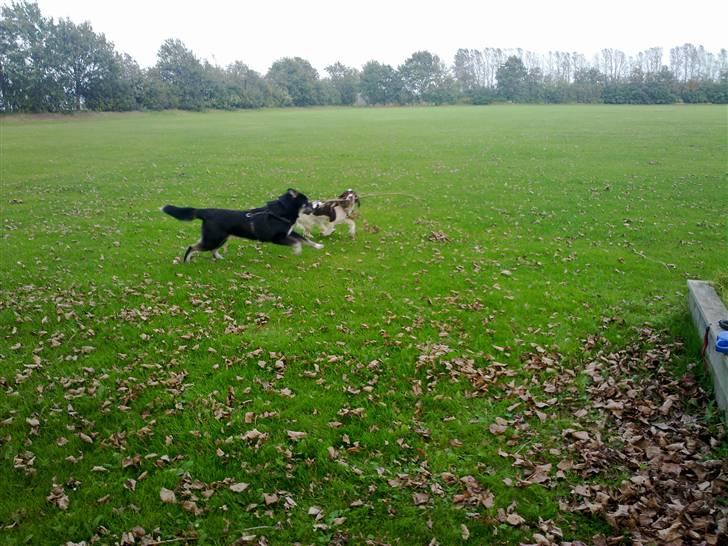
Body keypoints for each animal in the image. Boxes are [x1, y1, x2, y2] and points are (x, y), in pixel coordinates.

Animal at [165, 188, 324, 262]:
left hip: (220, 238)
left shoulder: (289, 233)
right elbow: (298, 242)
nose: (315, 206)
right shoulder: (277, 238)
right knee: (192, 247)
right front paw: (297, 251)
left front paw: (318, 246)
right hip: (213, 238)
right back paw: (186, 261)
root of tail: (205, 212)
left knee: (213, 250)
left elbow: (305, 239)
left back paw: (219, 258)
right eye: (306, 202)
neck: (281, 212)